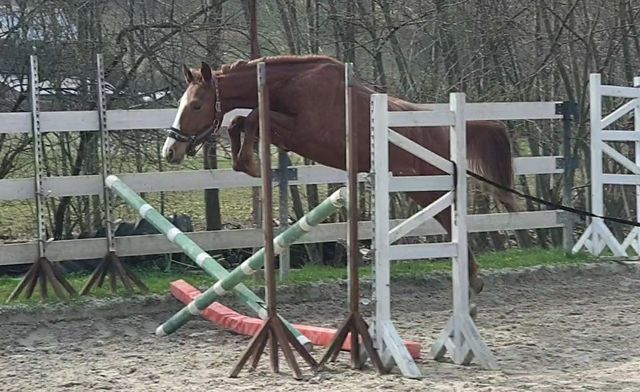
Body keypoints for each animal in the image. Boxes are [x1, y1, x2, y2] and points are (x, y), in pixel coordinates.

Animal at [161, 54, 516, 294]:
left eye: (195, 105)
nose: (170, 151)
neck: (293, 85)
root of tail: (447, 129)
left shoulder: (305, 133)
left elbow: (252, 117)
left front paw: (251, 163)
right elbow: (241, 121)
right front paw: (248, 163)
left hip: (428, 185)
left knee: (451, 219)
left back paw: (473, 280)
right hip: (419, 188)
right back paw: (471, 280)